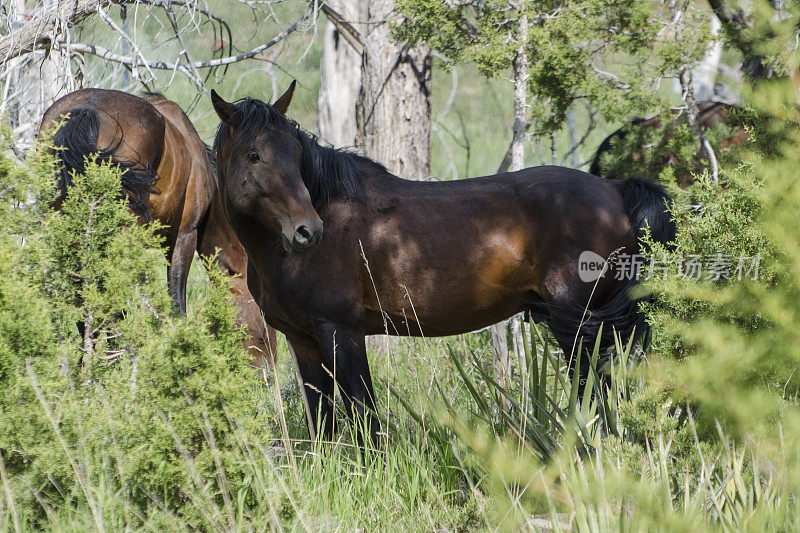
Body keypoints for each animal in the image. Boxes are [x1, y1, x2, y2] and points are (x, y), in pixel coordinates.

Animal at [211, 83, 676, 440]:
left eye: (296, 154)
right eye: (254, 155)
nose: (307, 232)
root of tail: (616, 190)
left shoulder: (341, 332)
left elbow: (365, 416)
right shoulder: (303, 341)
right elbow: (322, 422)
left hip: (581, 328)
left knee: (595, 391)